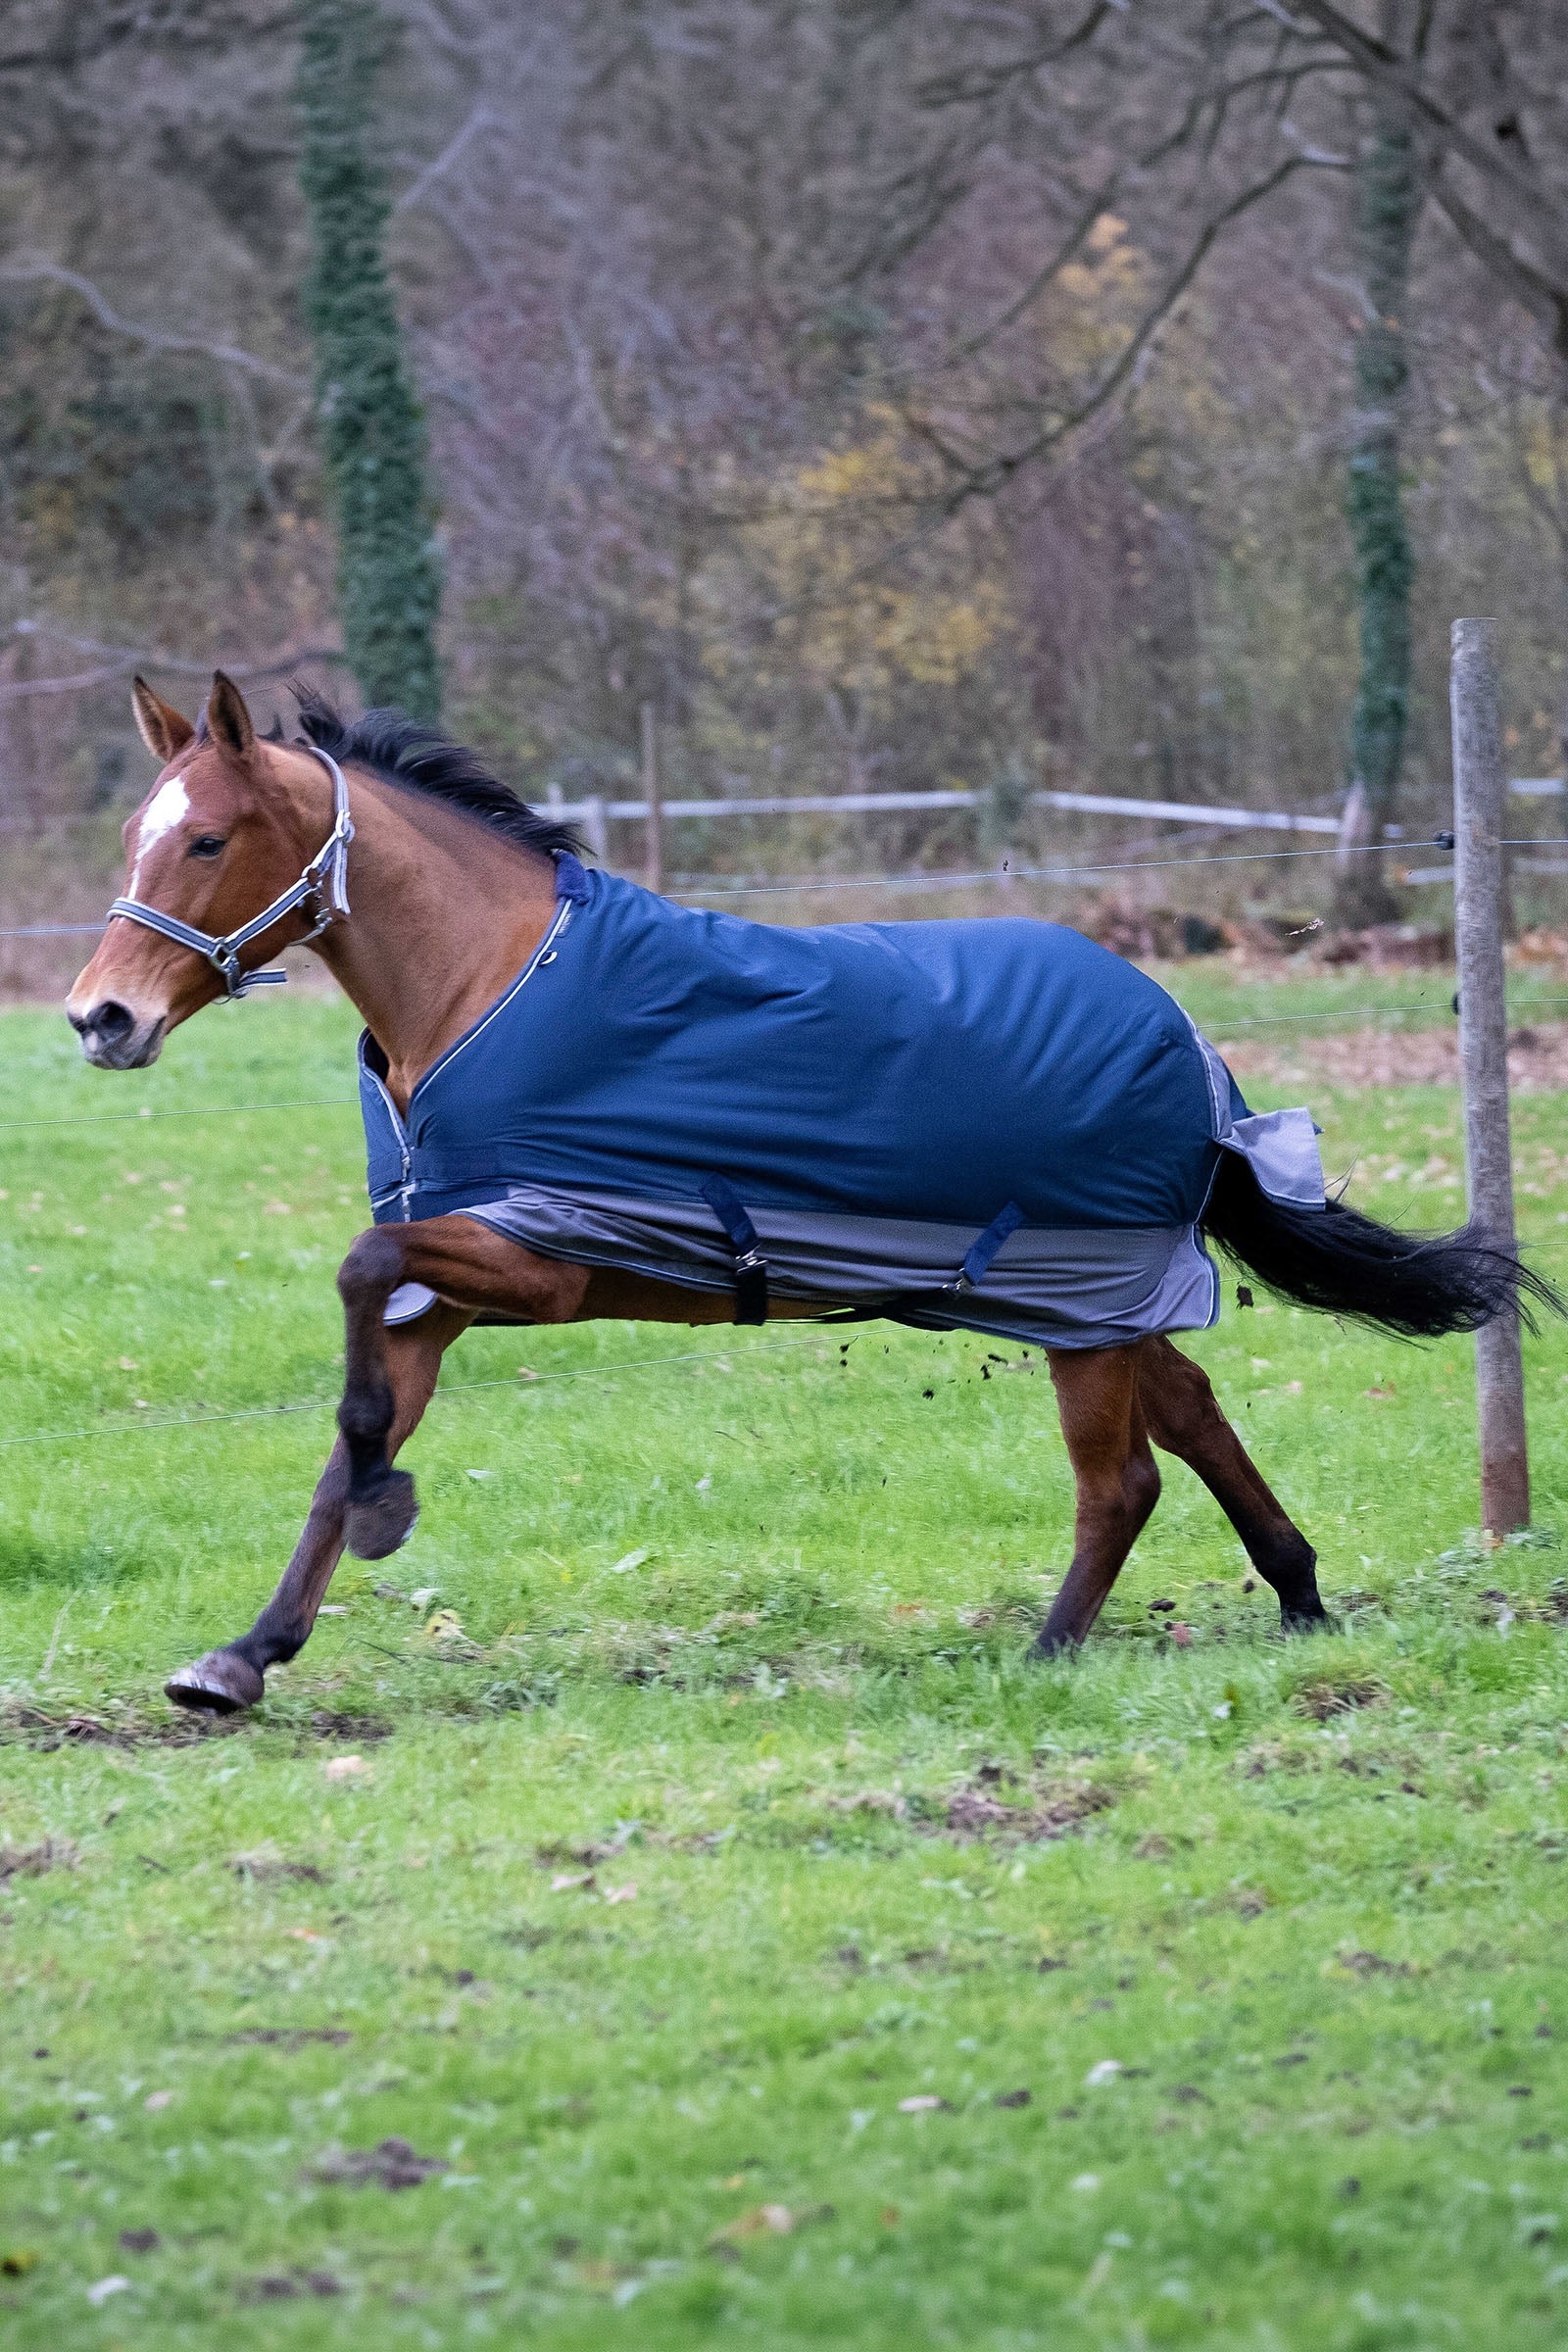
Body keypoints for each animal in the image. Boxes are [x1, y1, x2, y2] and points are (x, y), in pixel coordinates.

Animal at [65, 672, 1553, 1715]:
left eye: (208, 841)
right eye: (138, 836)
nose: (100, 1020)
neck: (492, 985)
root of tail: (1194, 1049)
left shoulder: (534, 1257)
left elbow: (357, 1298)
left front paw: (384, 1509)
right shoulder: (451, 1288)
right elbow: (346, 1429)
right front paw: (246, 1653)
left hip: (1084, 1297)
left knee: (1124, 1478)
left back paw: (1050, 1650)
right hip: (1100, 1298)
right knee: (1187, 1414)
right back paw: (1298, 1600)